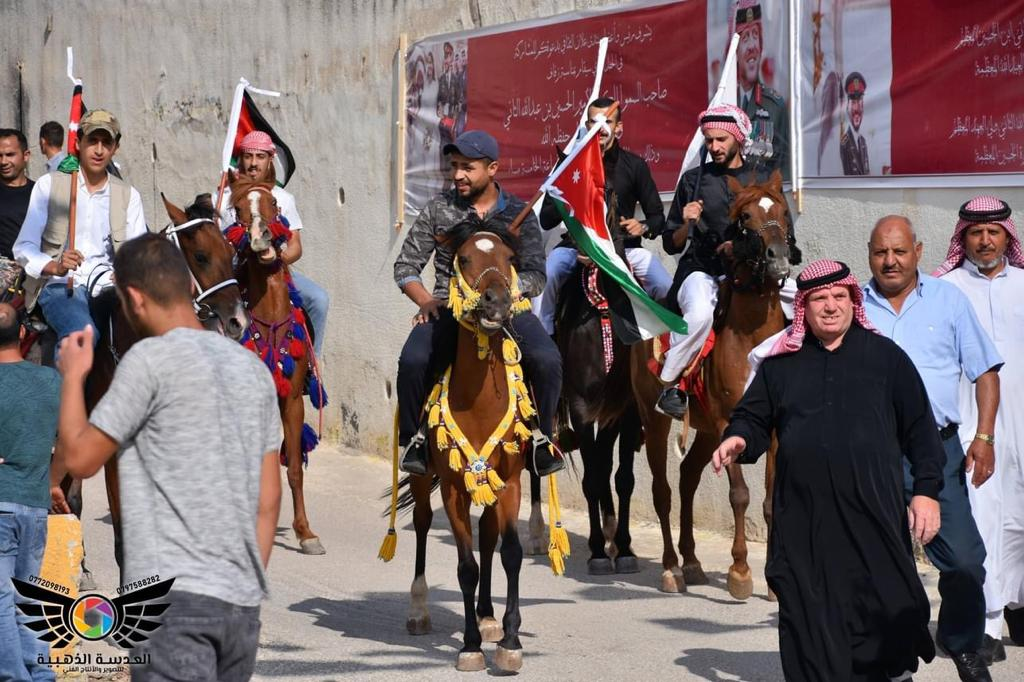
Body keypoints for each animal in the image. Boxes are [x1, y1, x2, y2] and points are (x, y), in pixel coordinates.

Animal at [225, 177, 326, 556]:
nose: (259, 236)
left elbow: (295, 465)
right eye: (238, 209)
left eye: (273, 203)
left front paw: (305, 532)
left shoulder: (292, 400)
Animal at [381, 224, 568, 673]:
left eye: (510, 258)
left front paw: (510, 641)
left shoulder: (512, 481)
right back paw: (420, 610)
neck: (480, 401)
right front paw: (469, 647)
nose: (496, 301)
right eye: (463, 258)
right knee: (424, 524)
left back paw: (487, 618)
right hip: (424, 477)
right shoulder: (452, 487)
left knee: (488, 535)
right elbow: (466, 566)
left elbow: (510, 553)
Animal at [632, 168, 799, 599]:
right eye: (745, 219)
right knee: (663, 490)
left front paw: (774, 582)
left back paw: (691, 562)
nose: (777, 259)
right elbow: (739, 495)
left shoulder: (772, 431)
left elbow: (770, 500)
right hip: (655, 421)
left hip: (705, 431)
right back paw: (671, 568)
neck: (752, 335)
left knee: (688, 478)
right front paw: (740, 572)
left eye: (783, 212)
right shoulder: (729, 423)